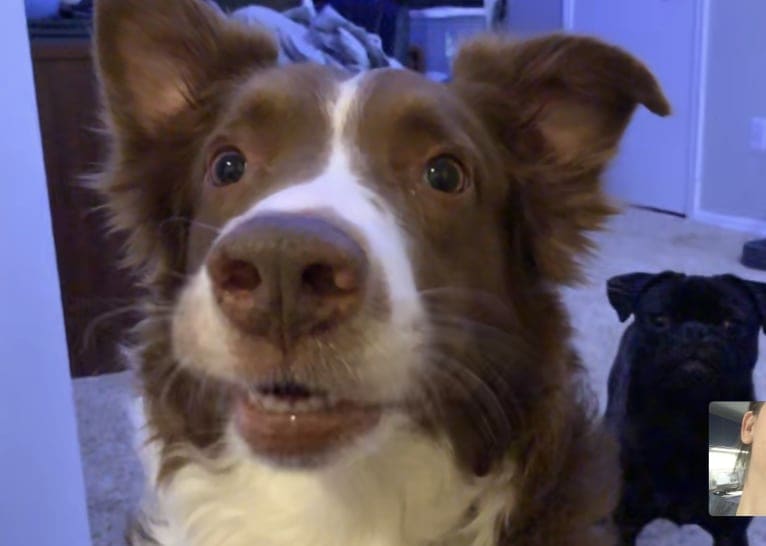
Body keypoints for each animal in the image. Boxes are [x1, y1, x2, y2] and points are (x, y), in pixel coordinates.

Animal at [608, 270, 760, 544]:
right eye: (660, 320)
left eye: (730, 323)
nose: (695, 331)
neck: (685, 414)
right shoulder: (624, 523)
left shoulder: (731, 531)